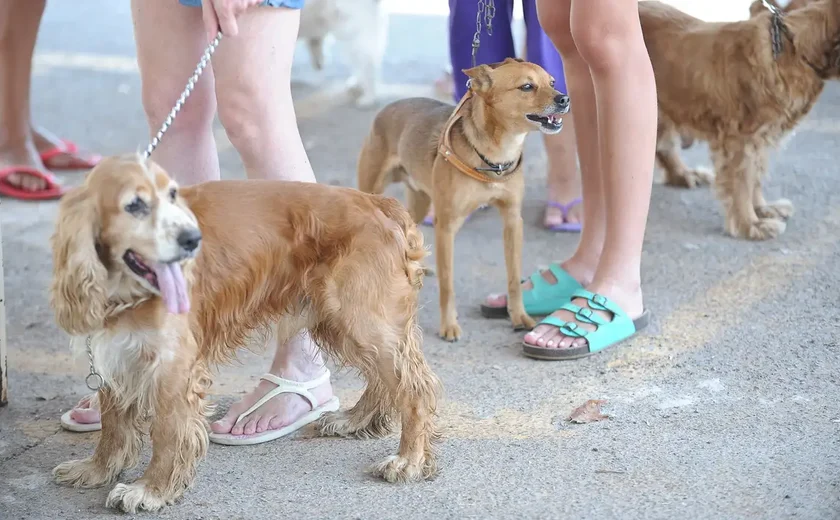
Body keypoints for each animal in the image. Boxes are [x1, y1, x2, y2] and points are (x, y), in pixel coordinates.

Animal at [50, 154, 446, 512]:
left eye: (173, 195)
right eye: (134, 205)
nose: (193, 239)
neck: (126, 290)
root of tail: (379, 203)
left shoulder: (173, 366)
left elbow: (166, 432)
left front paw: (151, 489)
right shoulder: (118, 354)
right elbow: (113, 425)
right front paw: (96, 469)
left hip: (359, 317)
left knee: (415, 387)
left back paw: (409, 460)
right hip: (342, 321)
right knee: (385, 379)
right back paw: (354, 420)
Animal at [354, 58, 572, 342]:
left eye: (552, 82)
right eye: (527, 87)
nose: (564, 98)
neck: (495, 156)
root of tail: (387, 108)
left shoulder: (512, 221)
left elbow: (514, 278)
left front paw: (519, 316)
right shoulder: (446, 227)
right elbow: (448, 284)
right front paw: (448, 325)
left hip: (420, 201)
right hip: (373, 191)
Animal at [644, 0, 840, 240]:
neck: (792, 48)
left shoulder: (760, 139)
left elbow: (755, 177)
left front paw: (763, 210)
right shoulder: (740, 140)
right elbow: (743, 183)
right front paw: (751, 224)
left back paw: (684, 174)